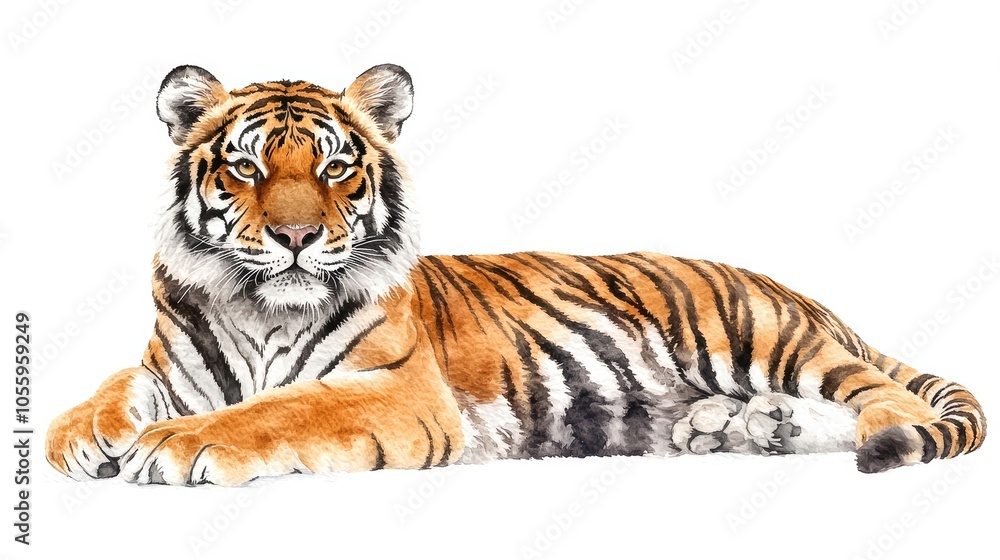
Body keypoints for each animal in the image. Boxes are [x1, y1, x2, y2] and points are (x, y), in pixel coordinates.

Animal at [45, 64, 986, 486]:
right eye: (244, 169)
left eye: (336, 168)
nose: (297, 236)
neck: (260, 308)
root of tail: (809, 298)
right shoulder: (174, 363)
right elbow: (118, 383)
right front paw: (79, 436)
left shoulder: (398, 390)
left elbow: (281, 409)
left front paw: (176, 447)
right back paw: (740, 431)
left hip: (762, 338)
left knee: (883, 401)